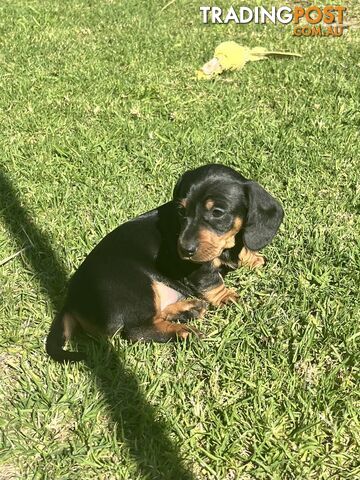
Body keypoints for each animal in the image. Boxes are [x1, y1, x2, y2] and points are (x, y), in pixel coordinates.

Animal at [46, 163, 284, 362]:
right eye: (181, 210)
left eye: (217, 212)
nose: (184, 250)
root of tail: (71, 301)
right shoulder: (199, 268)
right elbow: (211, 280)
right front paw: (226, 297)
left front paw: (252, 257)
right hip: (136, 287)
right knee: (136, 330)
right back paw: (183, 331)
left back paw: (189, 309)